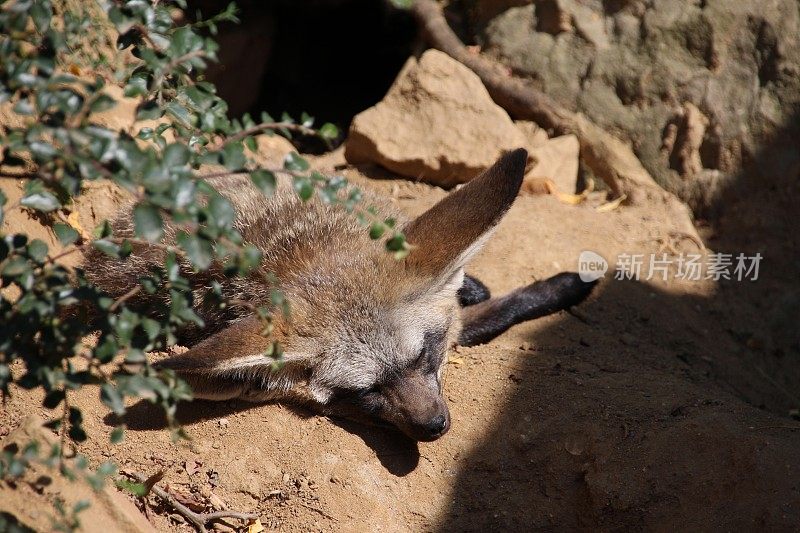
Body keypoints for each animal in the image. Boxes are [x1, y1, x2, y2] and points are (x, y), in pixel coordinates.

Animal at [83, 149, 592, 440]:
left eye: (424, 357)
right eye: (364, 392)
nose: (434, 427)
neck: (299, 251)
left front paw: (562, 286)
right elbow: (480, 320)